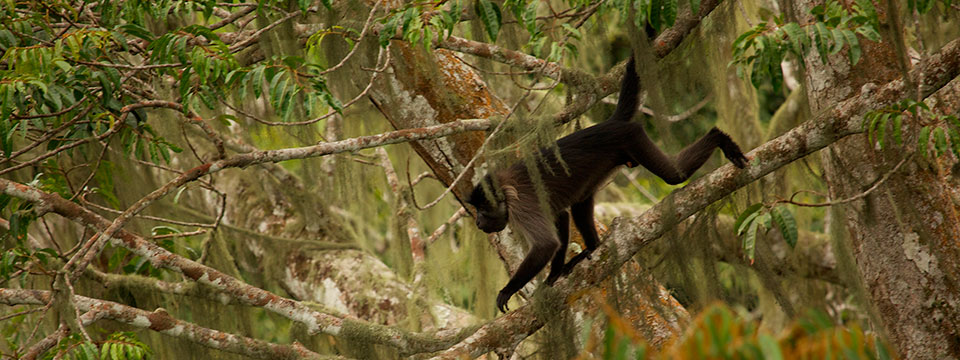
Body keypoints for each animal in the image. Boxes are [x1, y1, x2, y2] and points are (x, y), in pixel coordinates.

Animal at [464, 56, 752, 312]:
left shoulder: (522, 206)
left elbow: (546, 243)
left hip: (632, 137)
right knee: (580, 205)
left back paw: (719, 138)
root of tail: (612, 123)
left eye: (483, 211)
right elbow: (561, 216)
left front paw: (509, 289)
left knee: (674, 175)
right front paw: (554, 274)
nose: (477, 221)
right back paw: (592, 248)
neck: (505, 189)